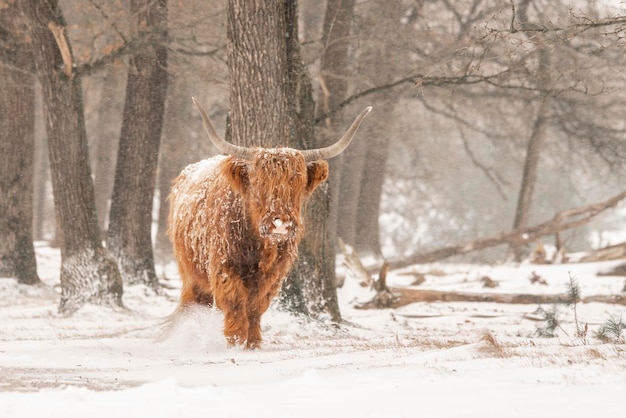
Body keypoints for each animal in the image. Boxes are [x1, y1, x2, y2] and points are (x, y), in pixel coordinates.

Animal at [168, 99, 368, 350]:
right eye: (259, 183)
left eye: (298, 184)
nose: (280, 223)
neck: (260, 247)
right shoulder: (225, 267)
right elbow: (235, 304)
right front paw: (235, 342)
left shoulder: (274, 275)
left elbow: (255, 307)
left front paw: (253, 343)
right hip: (190, 270)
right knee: (193, 302)